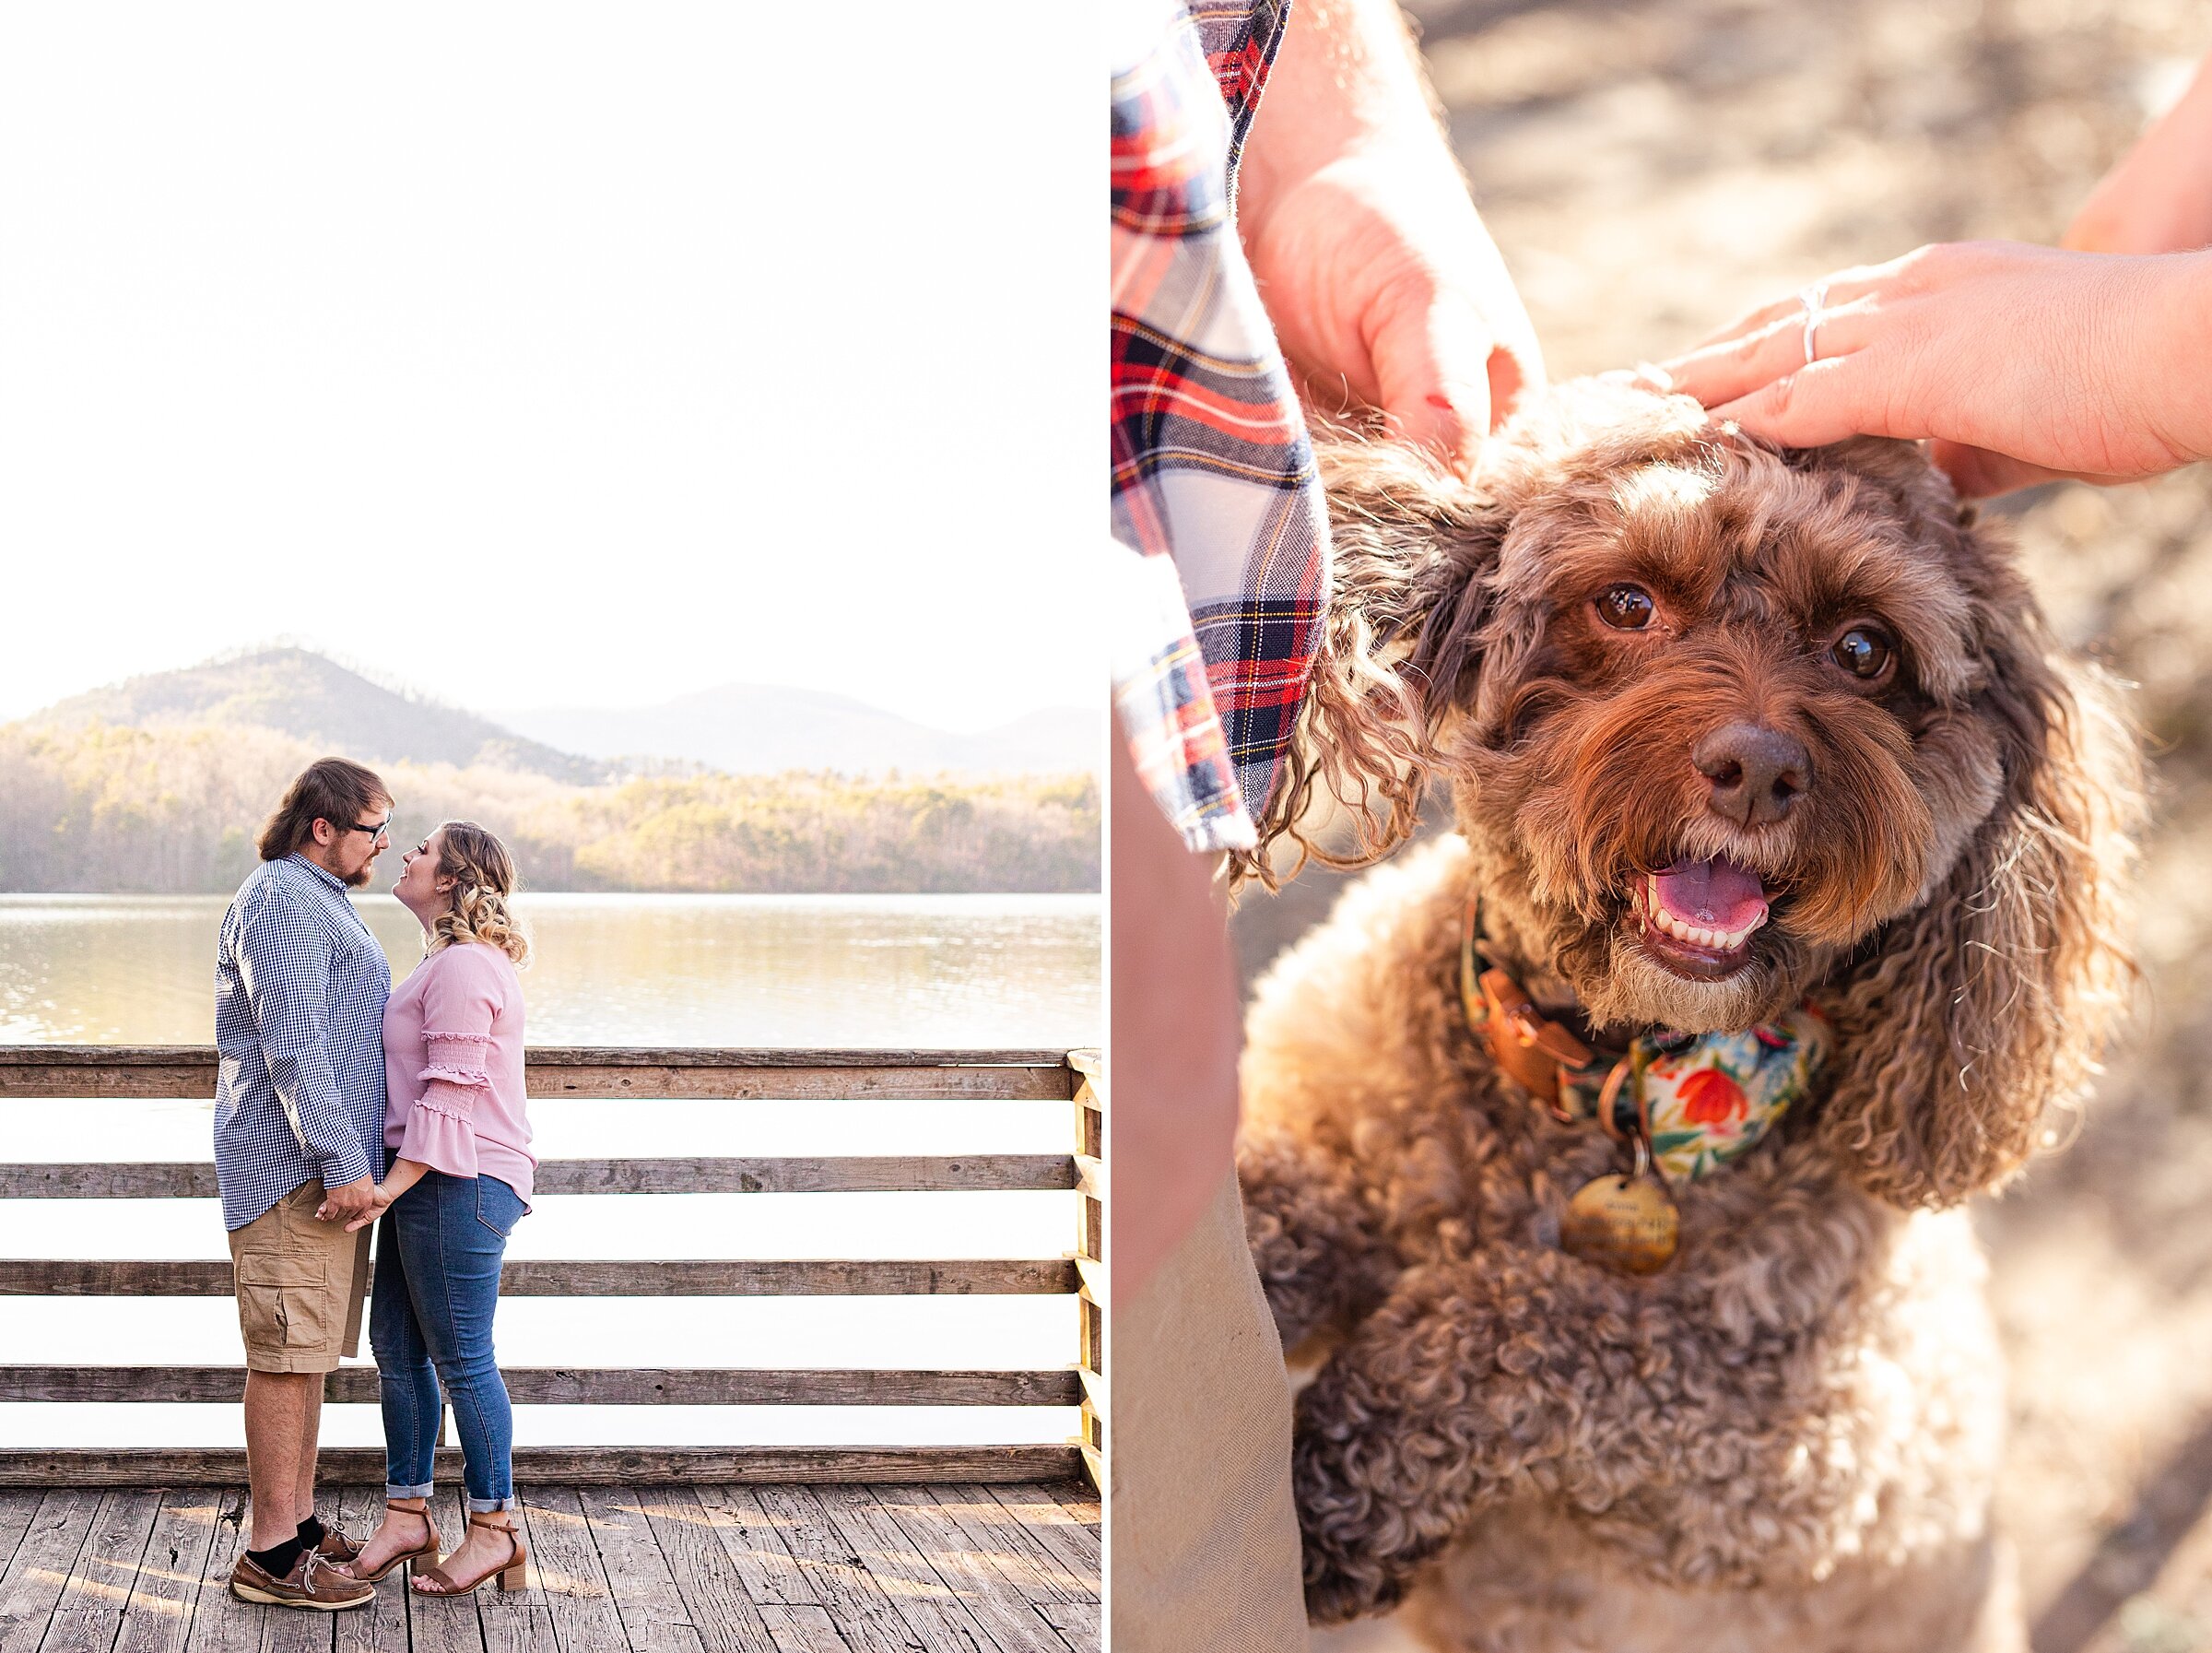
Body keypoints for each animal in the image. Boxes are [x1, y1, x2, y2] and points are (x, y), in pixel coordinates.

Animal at [1239, 378, 2132, 1653]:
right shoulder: (1338, 1129)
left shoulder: (1797, 1452)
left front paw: (1340, 1478)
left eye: (1866, 648)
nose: (1756, 768)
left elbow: (1547, 1320)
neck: (1606, 1088)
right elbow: (1287, 1206)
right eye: (1629, 601)